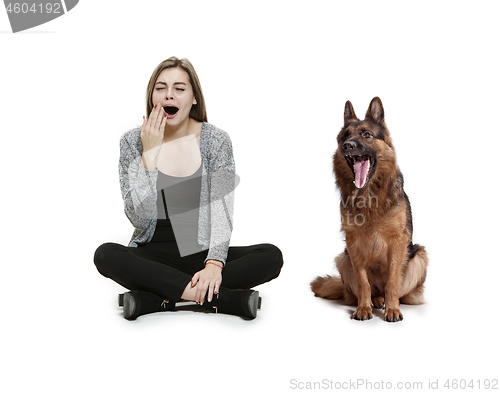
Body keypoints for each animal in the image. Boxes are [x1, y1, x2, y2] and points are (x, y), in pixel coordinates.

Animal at [310, 96, 428, 320]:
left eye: (366, 134)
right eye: (345, 136)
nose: (347, 145)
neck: (368, 195)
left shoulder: (398, 241)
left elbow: (392, 281)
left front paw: (392, 309)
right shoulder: (353, 242)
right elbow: (363, 282)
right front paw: (363, 308)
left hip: (419, 256)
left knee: (400, 291)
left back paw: (387, 301)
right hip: (343, 258)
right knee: (365, 290)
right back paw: (376, 300)